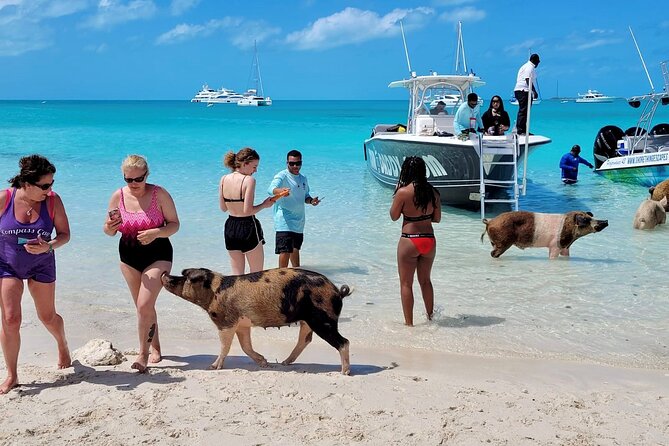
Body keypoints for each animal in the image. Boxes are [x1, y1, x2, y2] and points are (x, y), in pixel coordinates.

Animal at [161, 267, 352, 375]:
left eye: (187, 277)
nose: (165, 274)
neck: (215, 291)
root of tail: (337, 291)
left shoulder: (225, 321)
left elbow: (225, 346)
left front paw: (212, 368)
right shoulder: (242, 324)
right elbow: (245, 345)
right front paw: (264, 363)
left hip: (323, 320)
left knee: (344, 342)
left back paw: (344, 372)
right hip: (308, 321)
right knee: (305, 340)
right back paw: (284, 363)